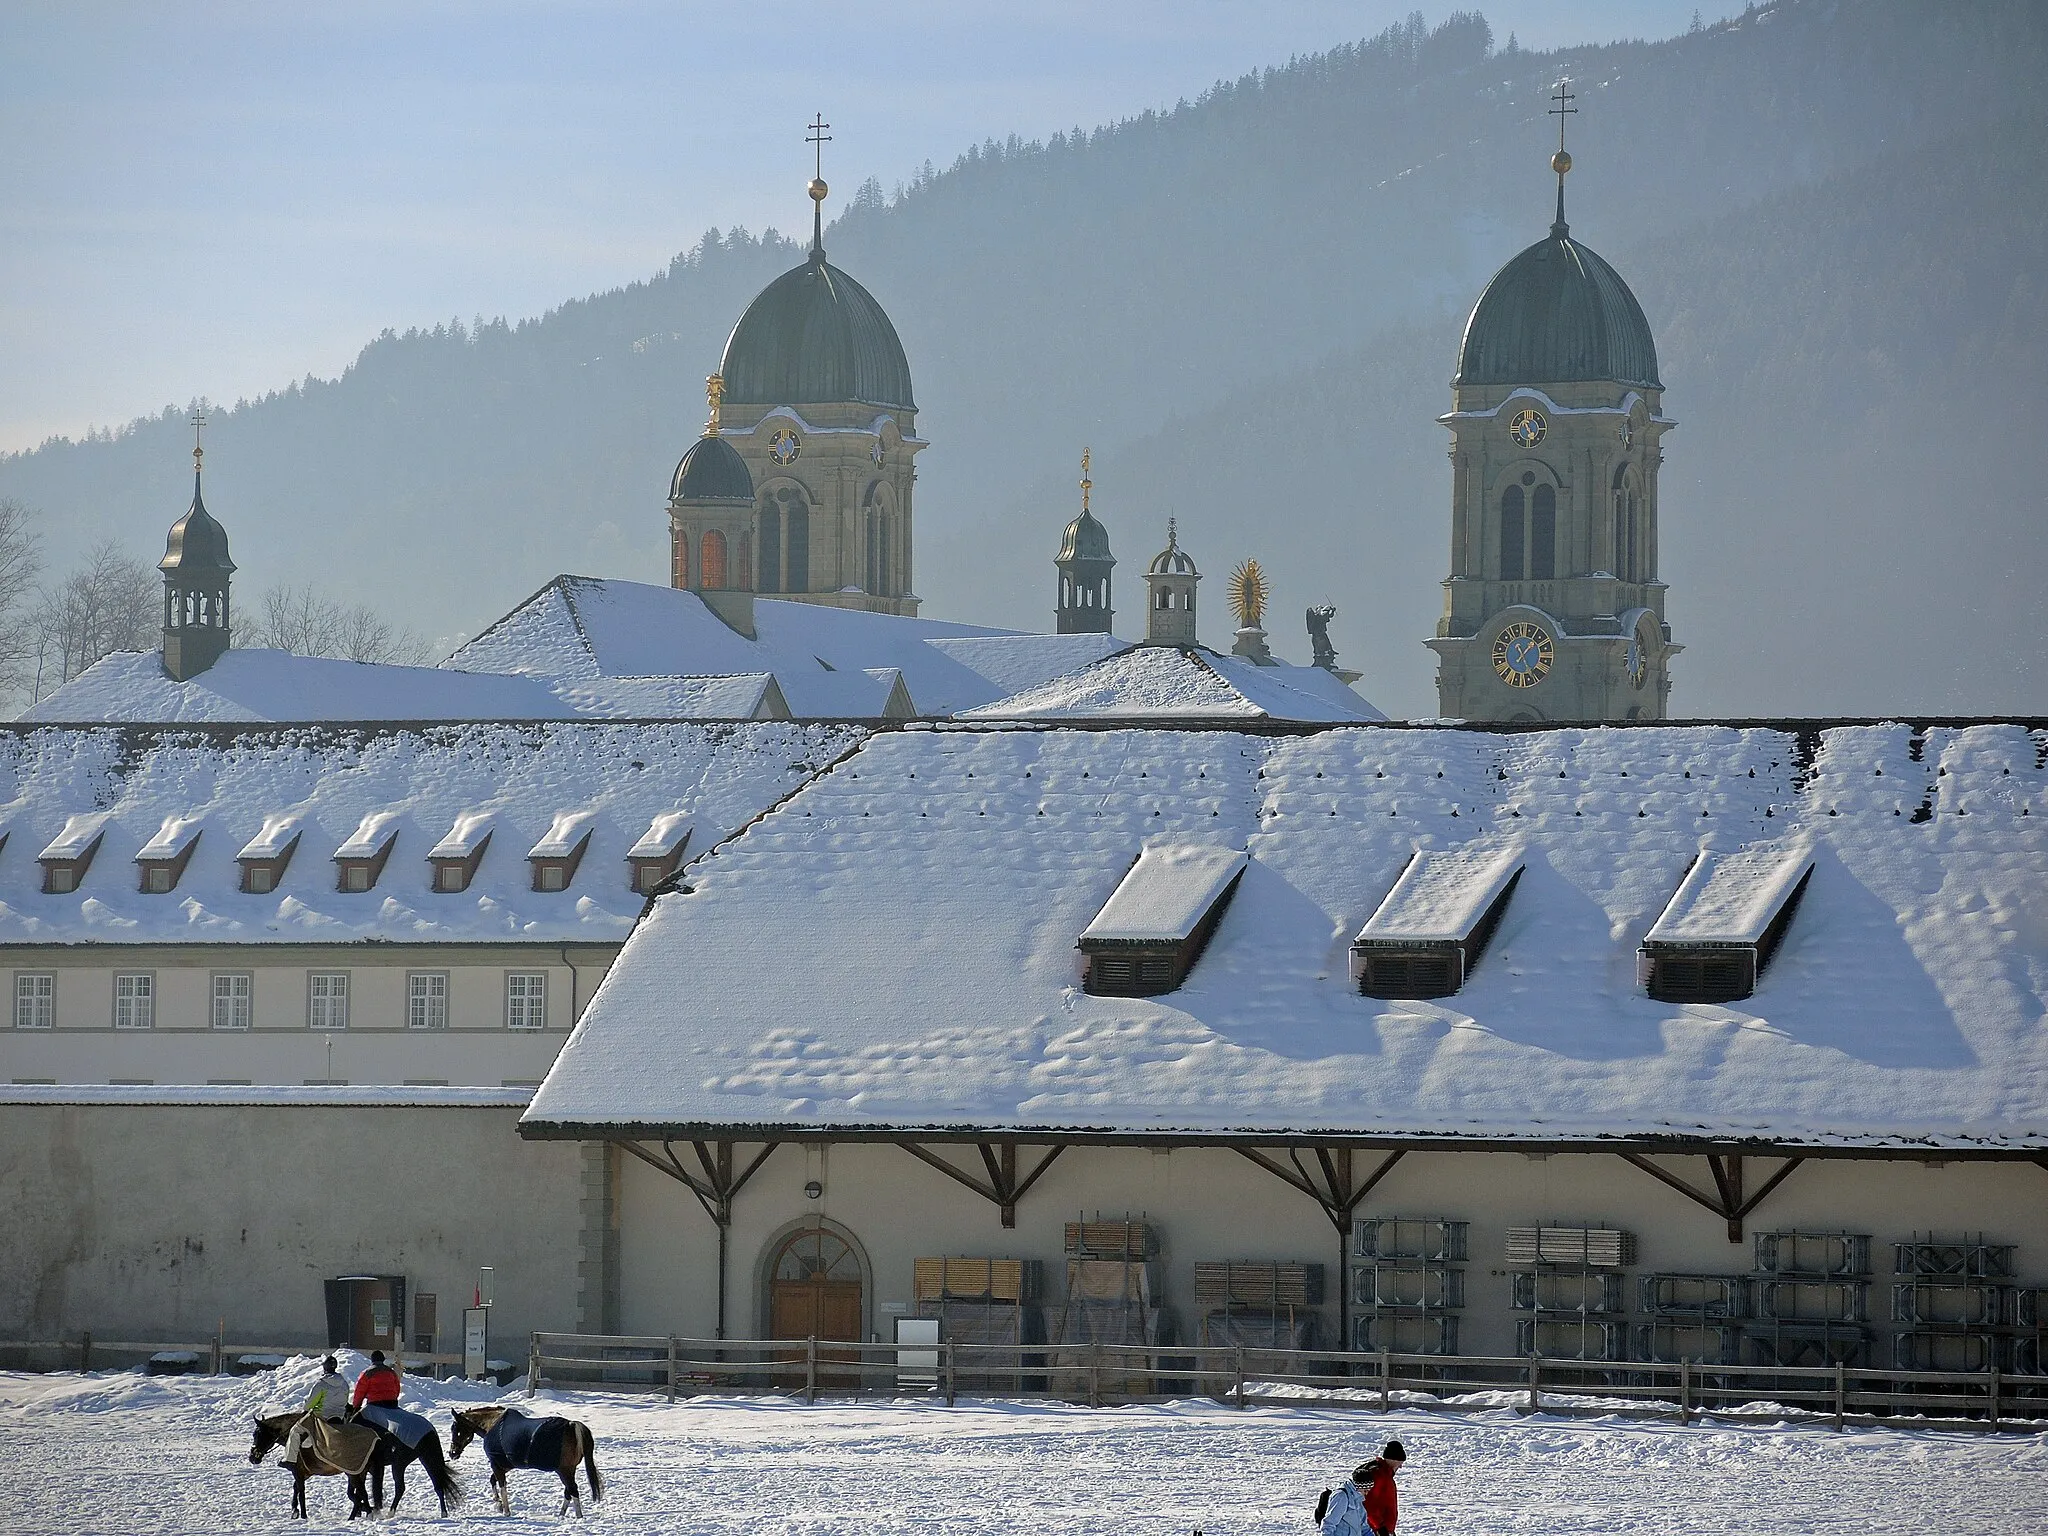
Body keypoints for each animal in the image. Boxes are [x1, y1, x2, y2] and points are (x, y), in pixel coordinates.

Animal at [450, 1409, 602, 1515]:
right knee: (568, 1491)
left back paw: (578, 1517)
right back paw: (561, 1515)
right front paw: (498, 1504)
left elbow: (501, 1485)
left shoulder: (496, 1464)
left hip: (564, 1471)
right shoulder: (506, 1465)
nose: (452, 1453)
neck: (492, 1425)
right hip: (569, 1470)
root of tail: (571, 1425)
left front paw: (505, 1510)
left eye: (455, 1429)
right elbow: (493, 1480)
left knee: (573, 1490)